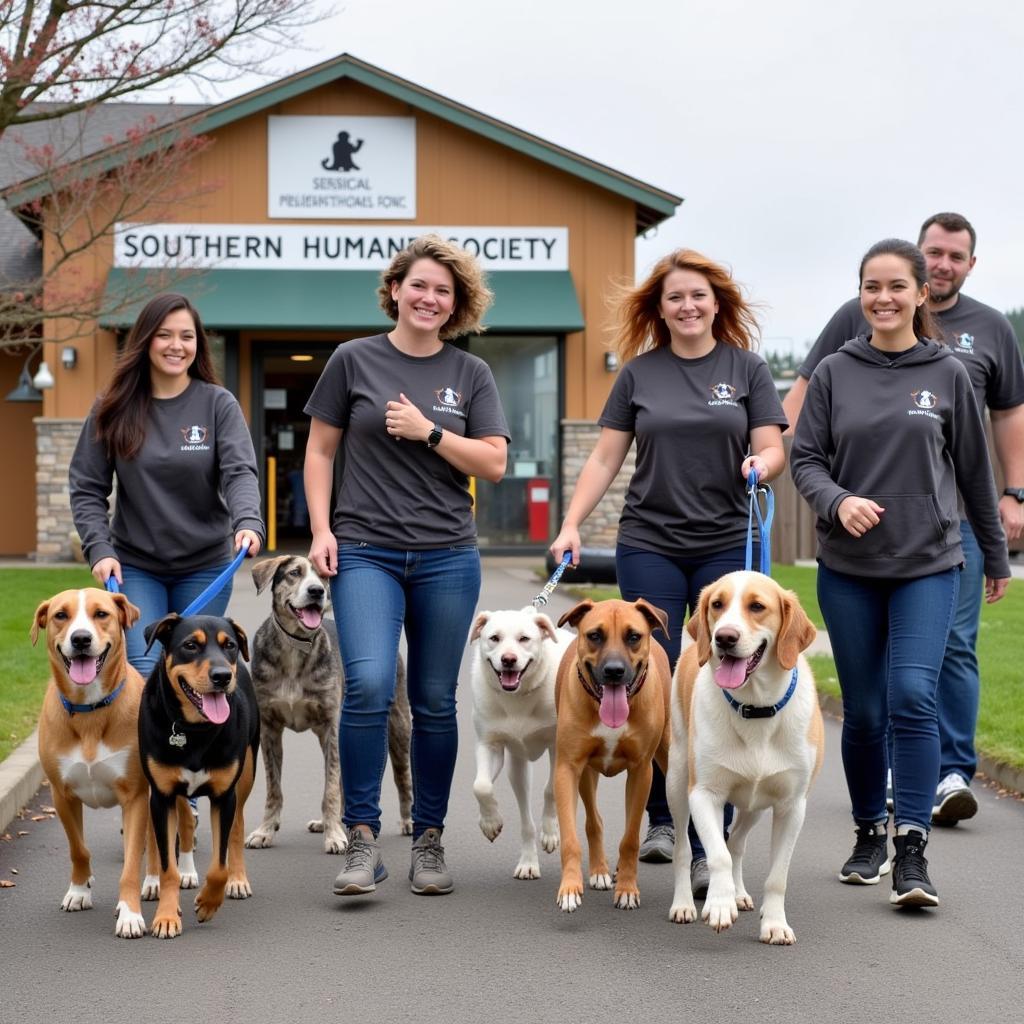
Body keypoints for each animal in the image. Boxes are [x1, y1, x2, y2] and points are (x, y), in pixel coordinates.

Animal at [30, 593, 179, 937]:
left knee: (157, 843)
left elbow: (132, 863)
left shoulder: (135, 797)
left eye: (101, 614)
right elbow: (78, 849)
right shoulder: (61, 794)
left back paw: (155, 881)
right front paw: (79, 890)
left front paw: (129, 914)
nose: (81, 639)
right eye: (60, 615)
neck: (90, 709)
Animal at [139, 610, 260, 937]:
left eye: (229, 645)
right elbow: (167, 865)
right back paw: (156, 879)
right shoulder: (162, 795)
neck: (193, 729)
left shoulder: (224, 796)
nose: (222, 676)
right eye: (191, 645)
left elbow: (219, 865)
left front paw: (207, 903)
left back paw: (237, 879)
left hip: (247, 773)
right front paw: (167, 916)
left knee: (237, 826)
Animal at [471, 606, 577, 880]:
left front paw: (550, 831)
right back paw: (528, 862)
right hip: (517, 768)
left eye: (524, 639)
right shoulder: (490, 744)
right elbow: (481, 786)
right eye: (494, 638)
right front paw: (490, 822)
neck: (518, 696)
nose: (508, 659)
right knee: (525, 817)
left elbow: (551, 790)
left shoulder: (558, 746)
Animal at [552, 598, 671, 913]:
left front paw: (627, 889)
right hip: (586, 775)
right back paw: (600, 871)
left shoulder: (642, 771)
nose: (614, 671)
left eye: (633, 636)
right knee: (594, 821)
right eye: (595, 635)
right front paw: (570, 888)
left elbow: (630, 838)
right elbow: (571, 837)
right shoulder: (568, 769)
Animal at [663, 569, 823, 942]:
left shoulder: (791, 806)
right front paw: (720, 905)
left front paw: (775, 923)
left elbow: (776, 875)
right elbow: (717, 856)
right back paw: (685, 903)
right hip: (676, 782)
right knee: (684, 849)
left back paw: (738, 892)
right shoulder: (704, 794)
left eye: (757, 606)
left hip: (755, 805)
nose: (724, 637)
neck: (756, 708)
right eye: (717, 604)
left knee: (735, 842)